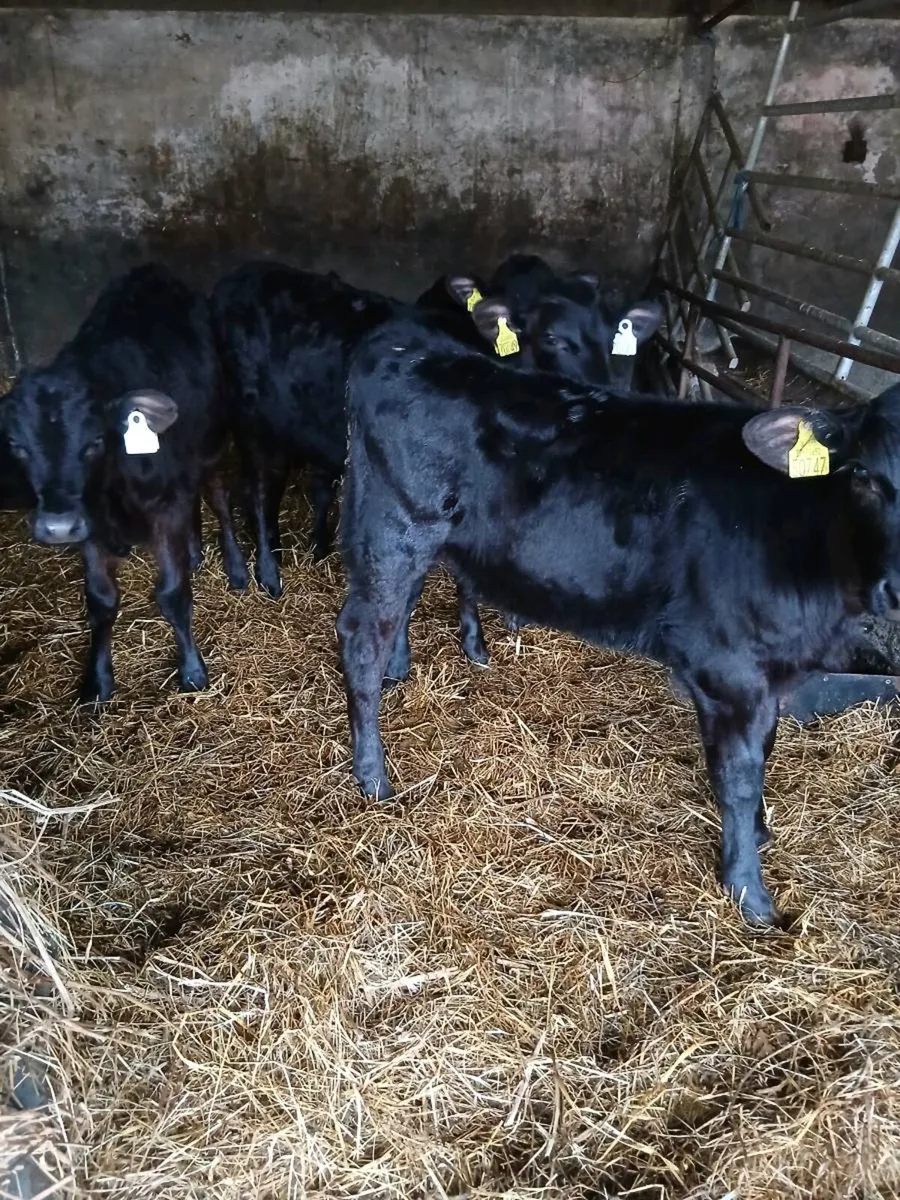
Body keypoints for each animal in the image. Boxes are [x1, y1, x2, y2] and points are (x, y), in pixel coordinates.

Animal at [1, 264, 248, 704]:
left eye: (94, 441)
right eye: (17, 445)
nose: (57, 526)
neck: (113, 493)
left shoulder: (164, 509)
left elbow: (172, 592)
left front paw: (192, 669)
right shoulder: (91, 527)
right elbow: (101, 602)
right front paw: (97, 679)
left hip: (213, 441)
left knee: (218, 497)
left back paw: (234, 565)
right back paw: (194, 551)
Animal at [336, 314, 900, 927]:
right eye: (864, 476)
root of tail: (405, 342)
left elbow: (766, 751)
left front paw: (759, 837)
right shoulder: (727, 668)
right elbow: (741, 774)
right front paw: (749, 890)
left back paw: (401, 671)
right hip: (392, 528)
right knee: (360, 637)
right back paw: (373, 776)